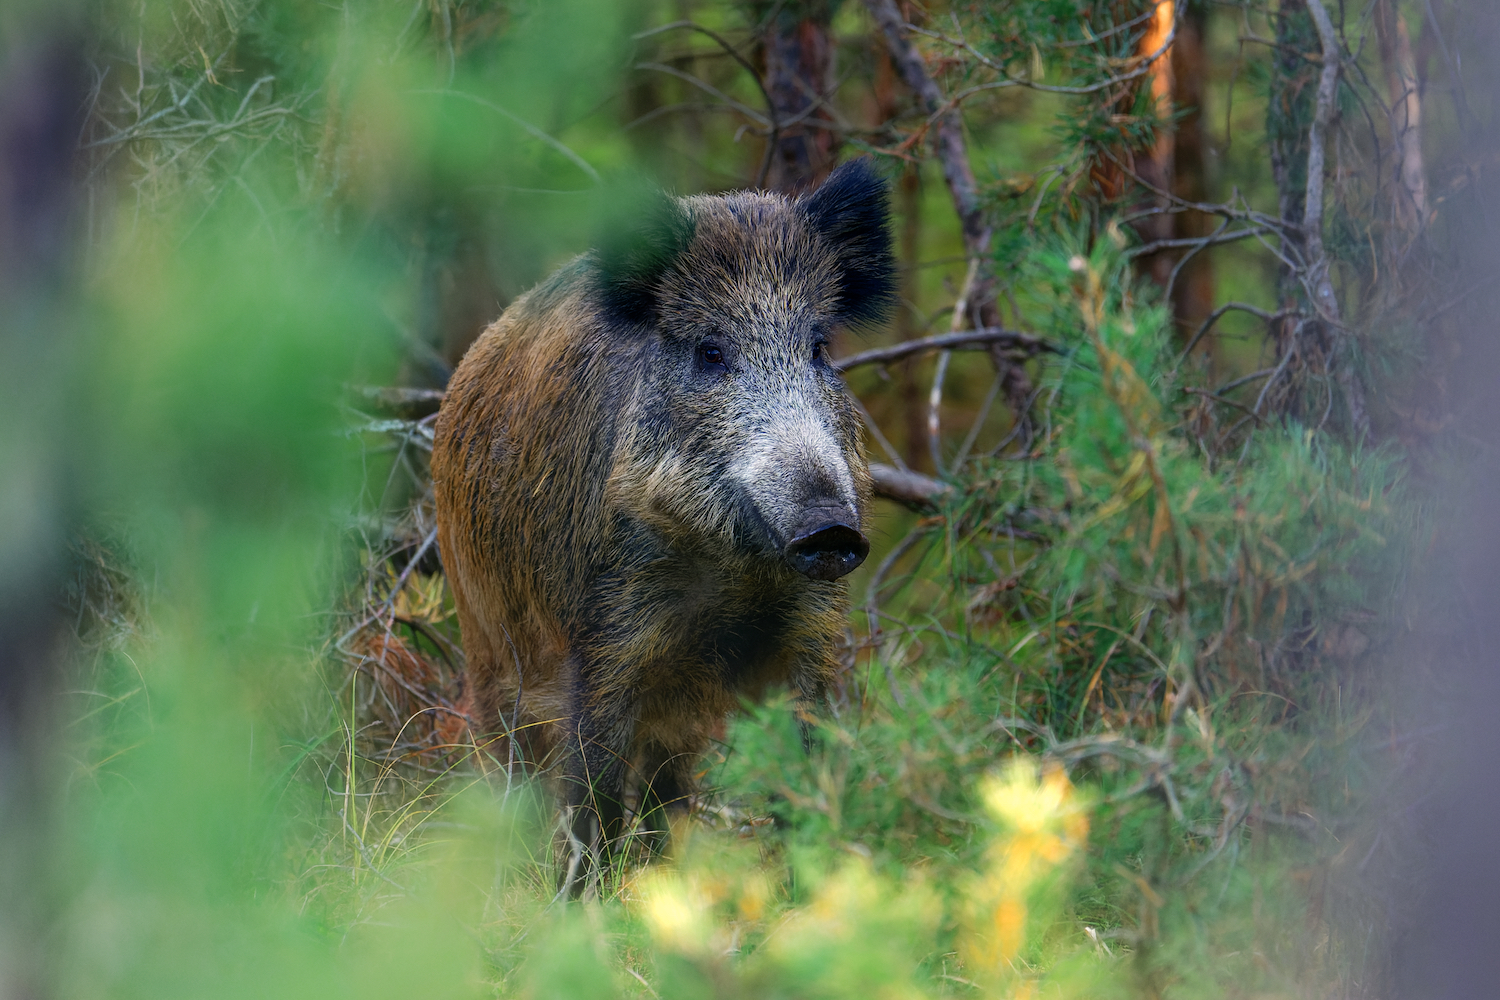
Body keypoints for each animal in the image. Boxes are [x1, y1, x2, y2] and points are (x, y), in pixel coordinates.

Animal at [431, 158, 894, 884]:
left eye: (819, 347)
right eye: (710, 351)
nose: (830, 527)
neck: (731, 577)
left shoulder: (810, 631)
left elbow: (807, 764)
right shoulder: (604, 634)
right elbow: (590, 791)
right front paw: (583, 899)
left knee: (664, 784)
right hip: (486, 639)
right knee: (517, 763)